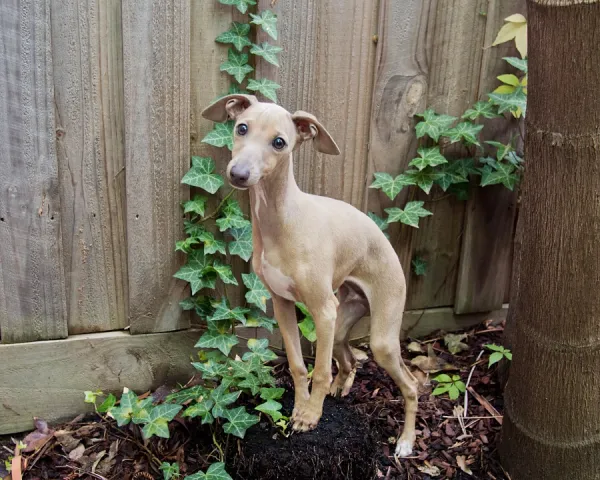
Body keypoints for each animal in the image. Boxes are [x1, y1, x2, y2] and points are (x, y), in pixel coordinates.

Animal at [202, 94, 418, 458]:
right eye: (241, 128)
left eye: (279, 142)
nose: (239, 174)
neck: (282, 220)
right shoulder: (282, 304)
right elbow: (298, 365)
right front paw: (301, 407)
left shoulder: (322, 310)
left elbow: (319, 371)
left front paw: (310, 416)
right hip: (343, 319)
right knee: (348, 360)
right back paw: (341, 388)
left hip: (379, 337)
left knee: (412, 385)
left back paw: (405, 441)